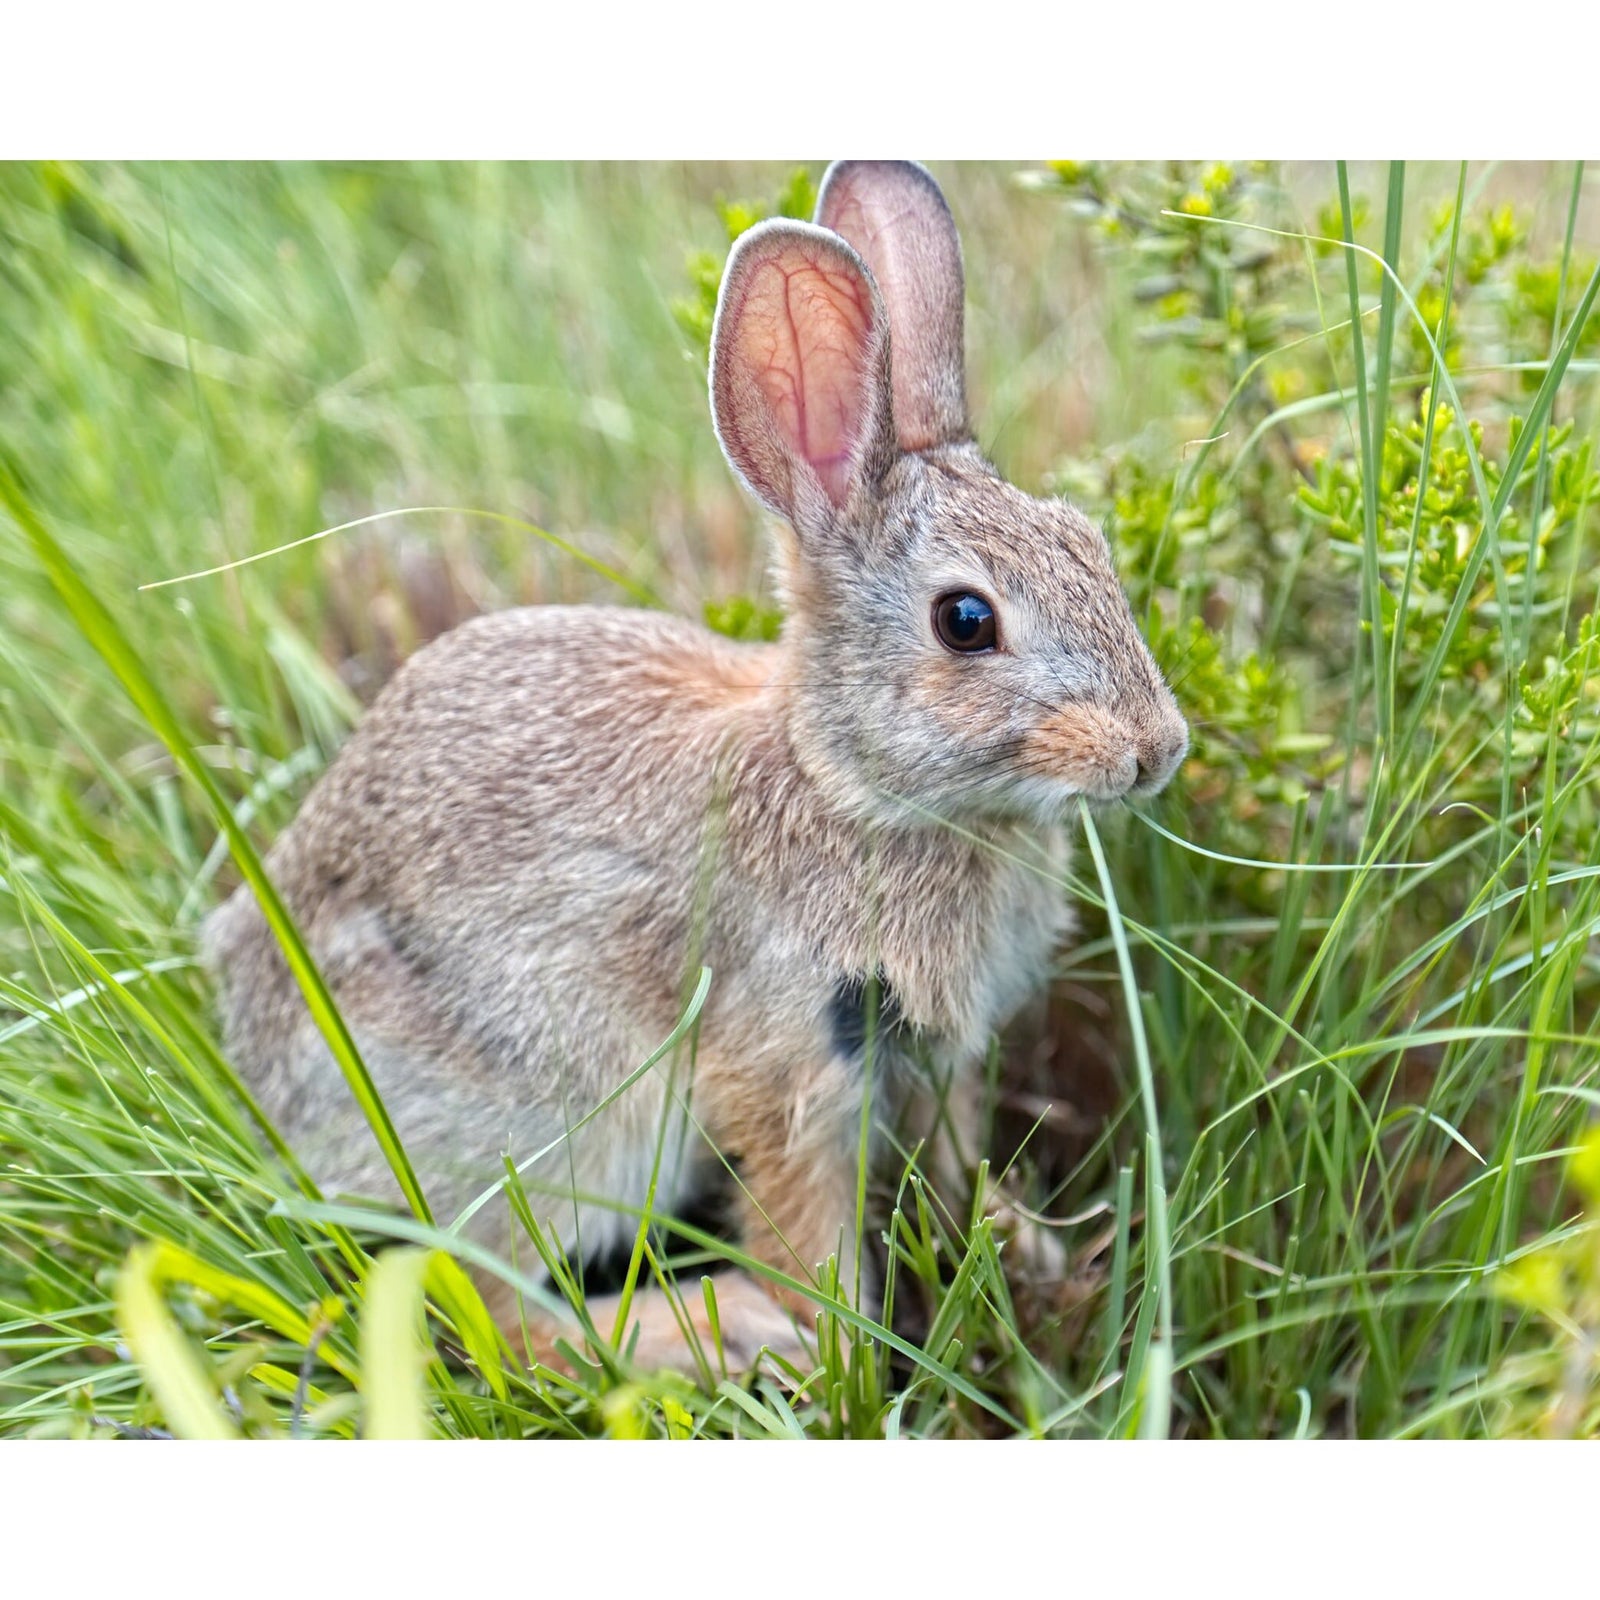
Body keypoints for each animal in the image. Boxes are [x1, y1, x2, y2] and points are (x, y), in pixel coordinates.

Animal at [203, 162, 1190, 1382]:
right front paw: (836, 1353)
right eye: (966, 621)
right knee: (484, 1306)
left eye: (1089, 543)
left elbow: (958, 1170)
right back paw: (709, 1333)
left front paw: (1031, 1256)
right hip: (547, 1122)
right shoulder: (787, 1061)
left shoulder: (935, 1063)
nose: (1154, 749)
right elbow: (805, 1227)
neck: (849, 787)